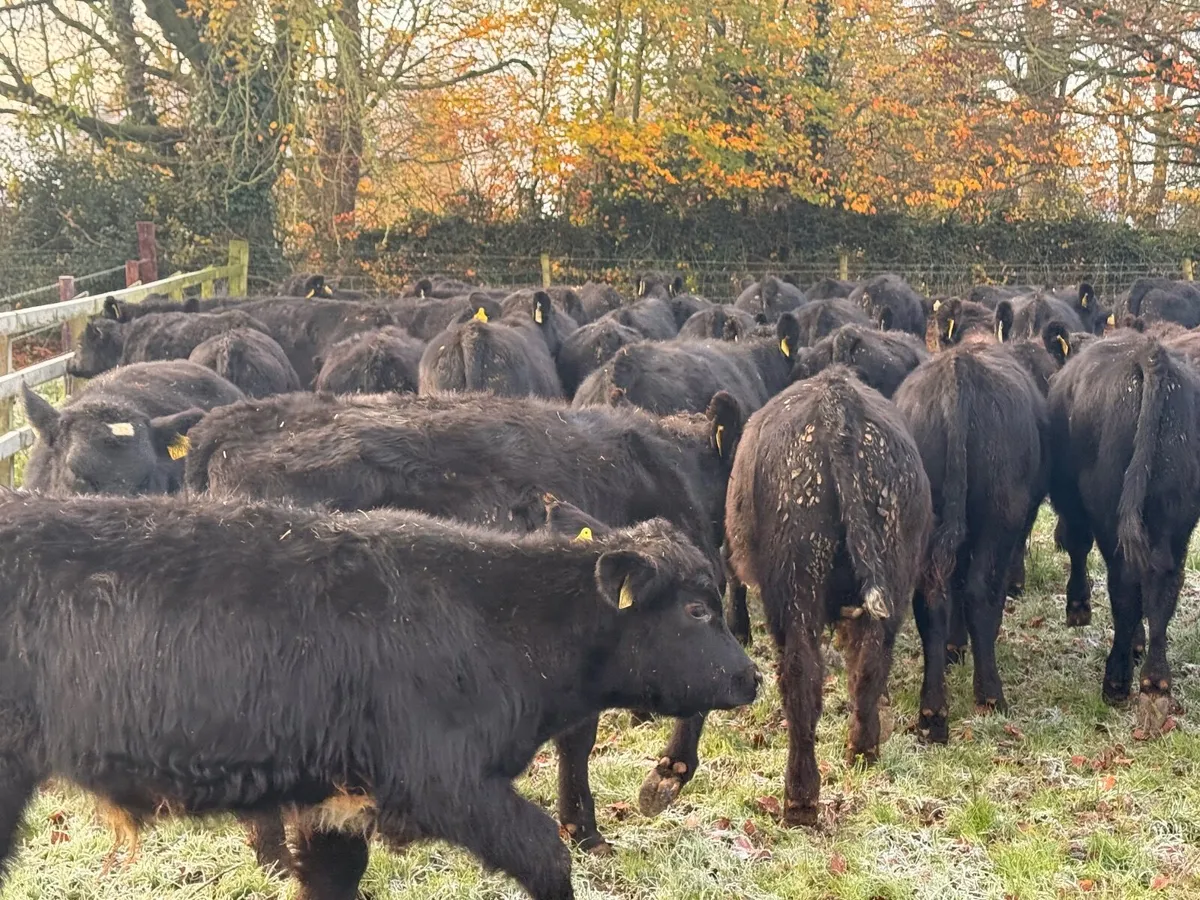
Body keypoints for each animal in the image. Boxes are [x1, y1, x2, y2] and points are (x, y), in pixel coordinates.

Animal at [0, 492, 758, 900]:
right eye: (697, 609)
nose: (749, 677)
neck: (498, 619)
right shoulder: (445, 781)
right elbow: (548, 853)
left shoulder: (330, 803)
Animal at [722, 367, 931, 826]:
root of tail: (838, 405)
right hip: (890, 582)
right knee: (870, 666)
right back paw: (863, 751)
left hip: (795, 597)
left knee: (801, 680)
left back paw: (799, 799)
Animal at [894, 344, 1049, 742]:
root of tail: (958, 370)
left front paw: (954, 645)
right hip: (1001, 516)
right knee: (980, 592)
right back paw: (990, 695)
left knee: (932, 599)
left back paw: (932, 714)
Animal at [1047, 331, 1200, 736]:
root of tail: (1150, 355)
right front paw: (1138, 644)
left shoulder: (1069, 499)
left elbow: (1078, 546)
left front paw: (1078, 608)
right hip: (1176, 520)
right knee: (1163, 584)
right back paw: (1155, 681)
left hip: (1112, 519)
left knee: (1126, 586)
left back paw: (1117, 680)